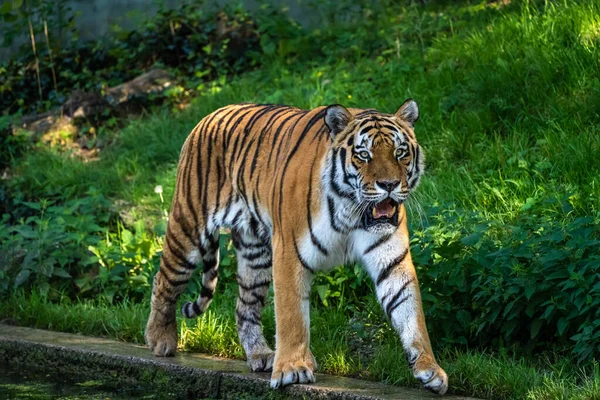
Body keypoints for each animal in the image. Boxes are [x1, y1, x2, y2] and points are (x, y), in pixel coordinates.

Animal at [144, 99, 446, 394]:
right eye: (363, 155)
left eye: (400, 152)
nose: (389, 184)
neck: (351, 210)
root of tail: (211, 115)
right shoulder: (289, 253)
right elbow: (292, 317)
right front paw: (292, 369)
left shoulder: (392, 260)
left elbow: (411, 312)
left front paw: (430, 369)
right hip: (189, 229)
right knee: (163, 280)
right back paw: (160, 340)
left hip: (256, 256)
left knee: (244, 307)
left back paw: (261, 355)